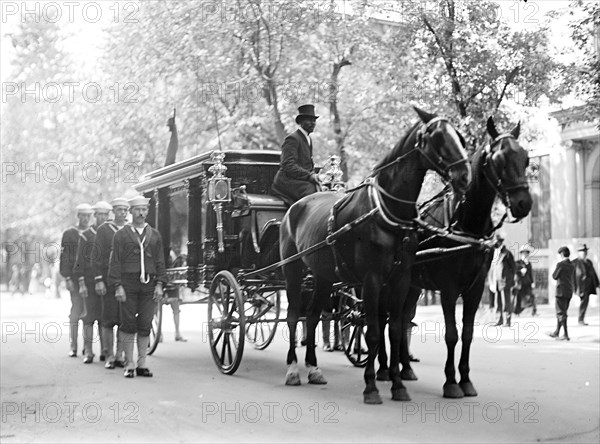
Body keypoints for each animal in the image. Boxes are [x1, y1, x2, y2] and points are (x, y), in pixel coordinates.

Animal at [278, 106, 472, 404]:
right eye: (437, 137)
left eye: (459, 136)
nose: (464, 176)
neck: (387, 212)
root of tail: (294, 208)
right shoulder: (371, 279)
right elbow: (371, 332)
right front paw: (371, 386)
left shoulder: (401, 278)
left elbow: (394, 330)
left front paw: (398, 384)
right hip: (293, 270)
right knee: (292, 316)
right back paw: (292, 369)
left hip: (323, 276)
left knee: (311, 317)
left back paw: (313, 367)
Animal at [398, 115, 528, 398]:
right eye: (500, 160)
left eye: (526, 158)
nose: (524, 203)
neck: (467, 224)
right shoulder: (448, 288)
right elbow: (451, 334)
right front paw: (450, 382)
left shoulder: (475, 288)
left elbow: (467, 333)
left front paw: (466, 379)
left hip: (413, 285)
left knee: (401, 320)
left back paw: (404, 367)